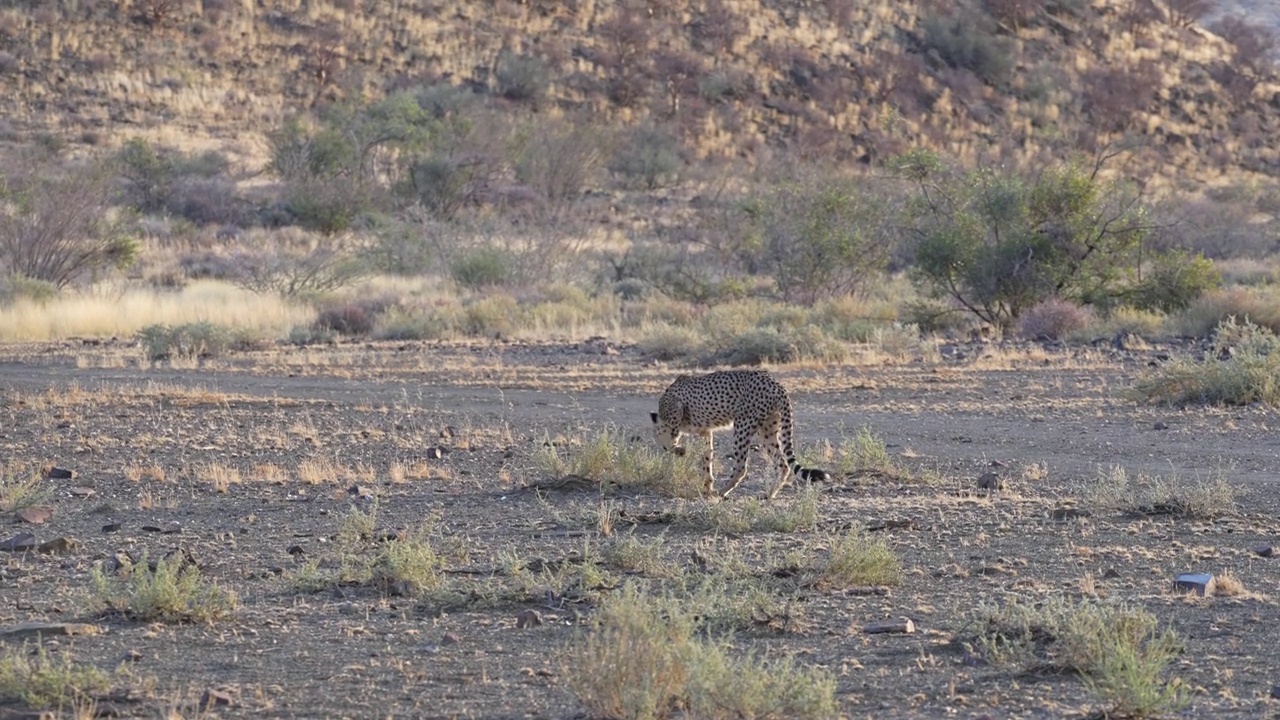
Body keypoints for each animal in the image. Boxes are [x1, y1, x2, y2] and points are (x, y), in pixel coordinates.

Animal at [650, 366, 829, 497]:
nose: (667, 449)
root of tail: (775, 383)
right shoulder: (705, 431)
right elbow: (707, 458)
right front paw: (707, 485)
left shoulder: (676, 409)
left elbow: (672, 434)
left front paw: (679, 449)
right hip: (768, 431)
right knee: (783, 464)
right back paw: (769, 495)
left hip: (742, 426)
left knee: (741, 467)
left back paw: (722, 492)